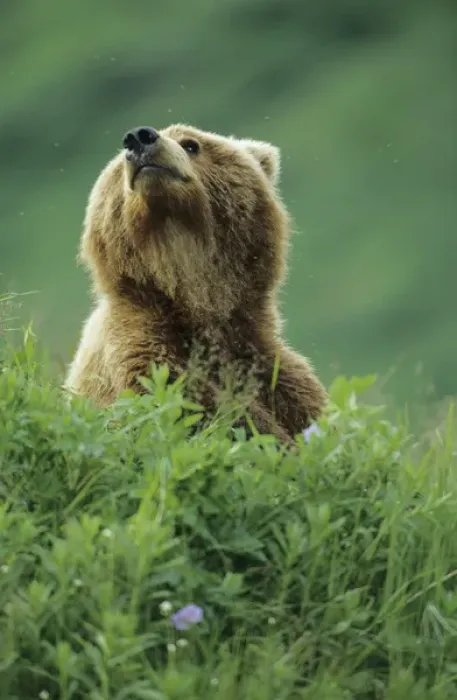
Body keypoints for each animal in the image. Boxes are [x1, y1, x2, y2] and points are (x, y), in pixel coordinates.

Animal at [65, 122, 327, 444]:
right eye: (116, 168)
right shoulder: (141, 348)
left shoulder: (265, 363)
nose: (139, 137)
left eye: (191, 144)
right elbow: (194, 409)